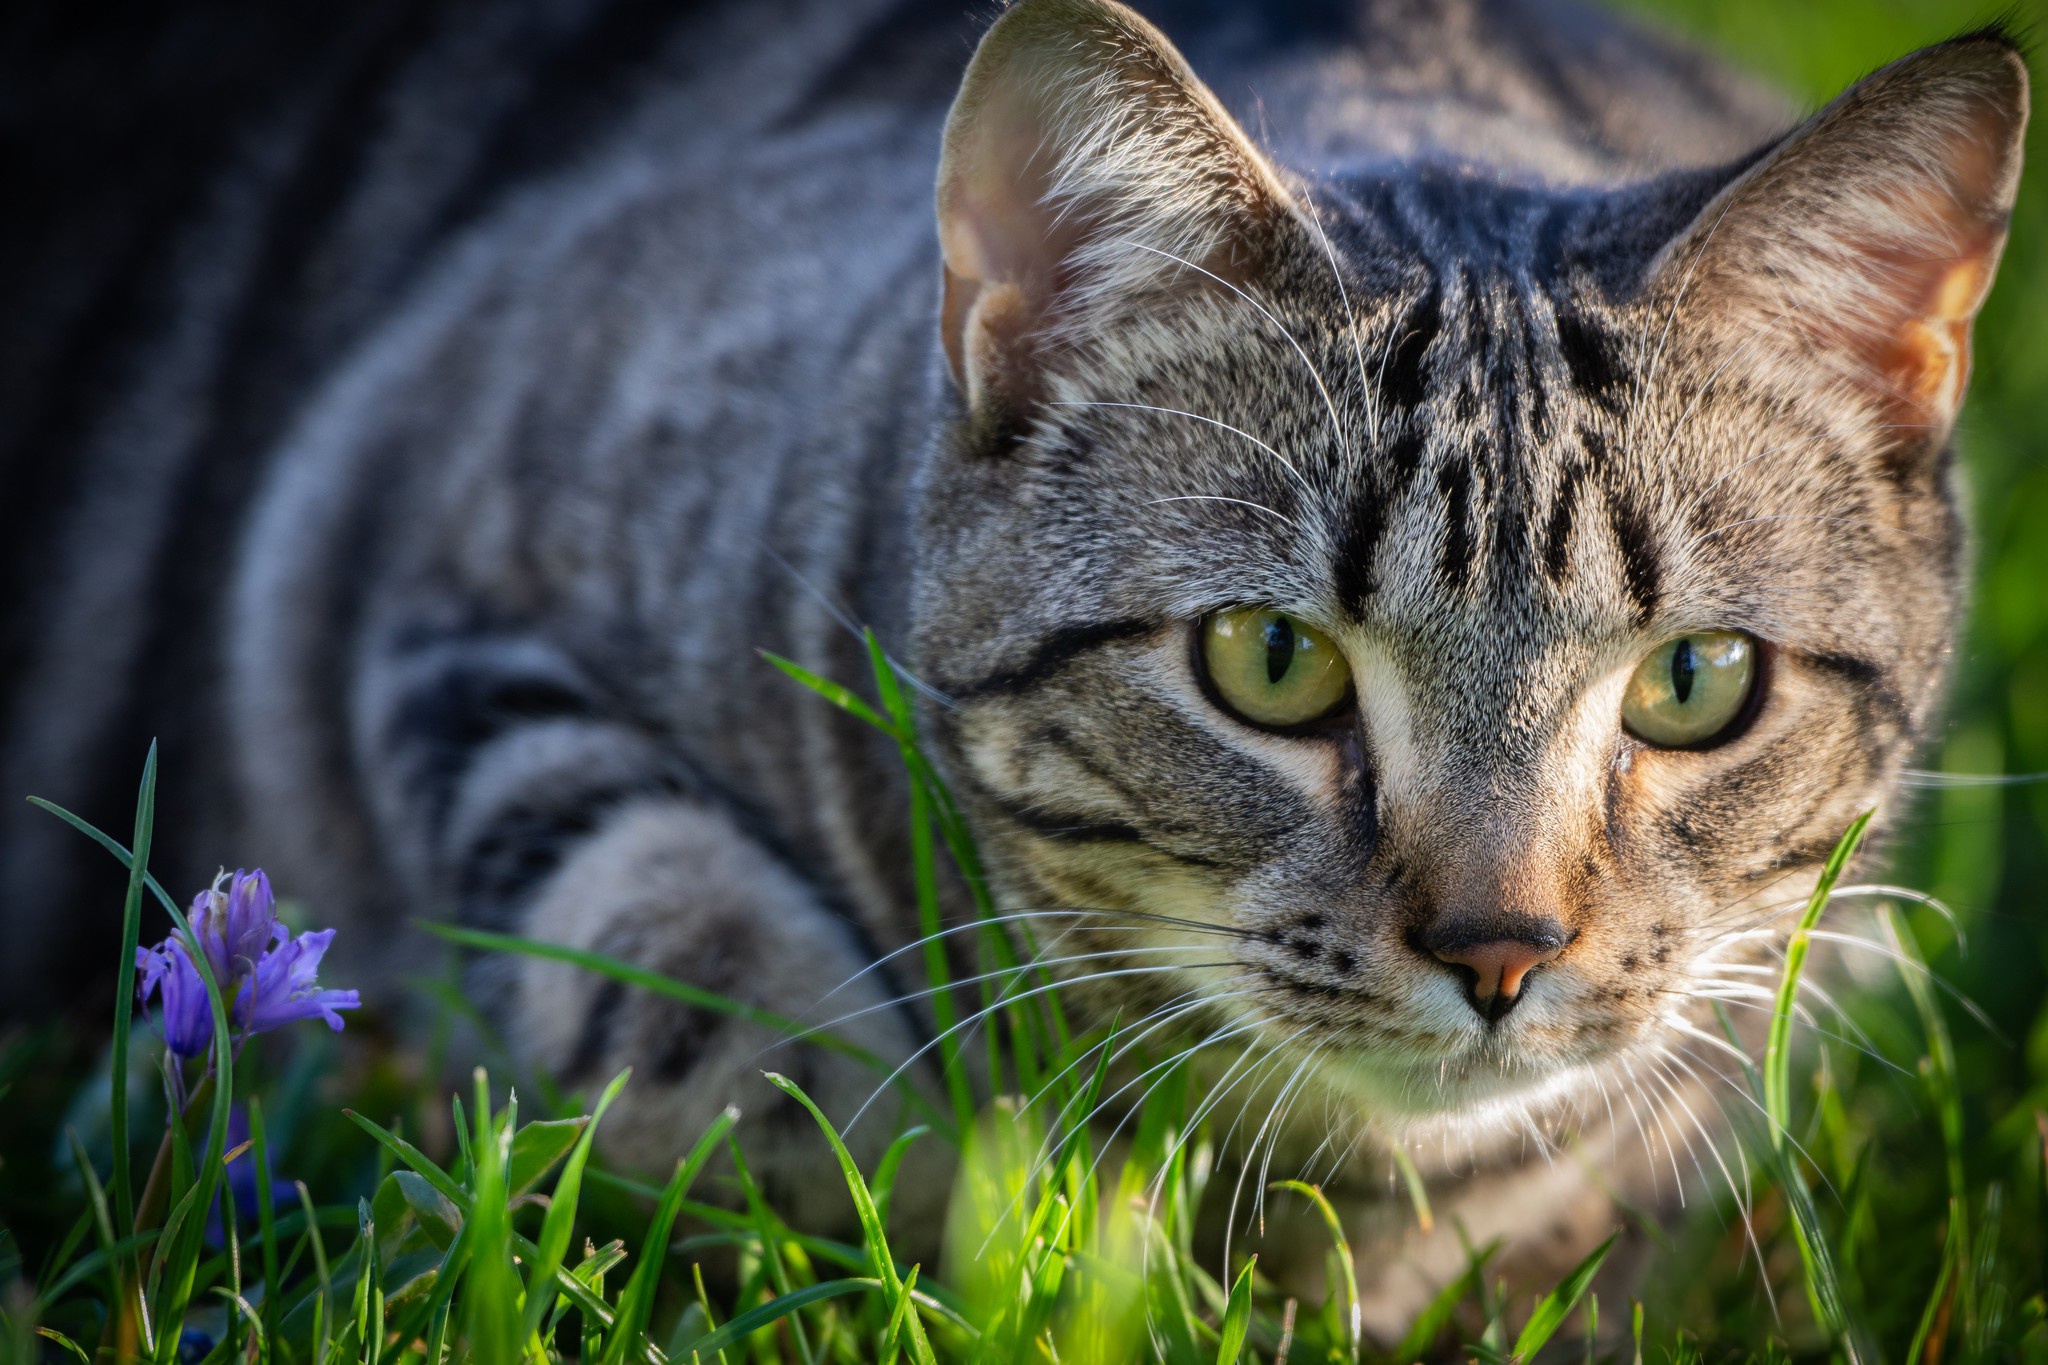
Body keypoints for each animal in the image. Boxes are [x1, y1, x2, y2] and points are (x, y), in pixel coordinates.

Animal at [0, 0, 2015, 1334]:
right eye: (1269, 660)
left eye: (1694, 685)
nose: (1499, 951)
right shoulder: (390, 530)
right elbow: (689, 985)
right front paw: (917, 1232)